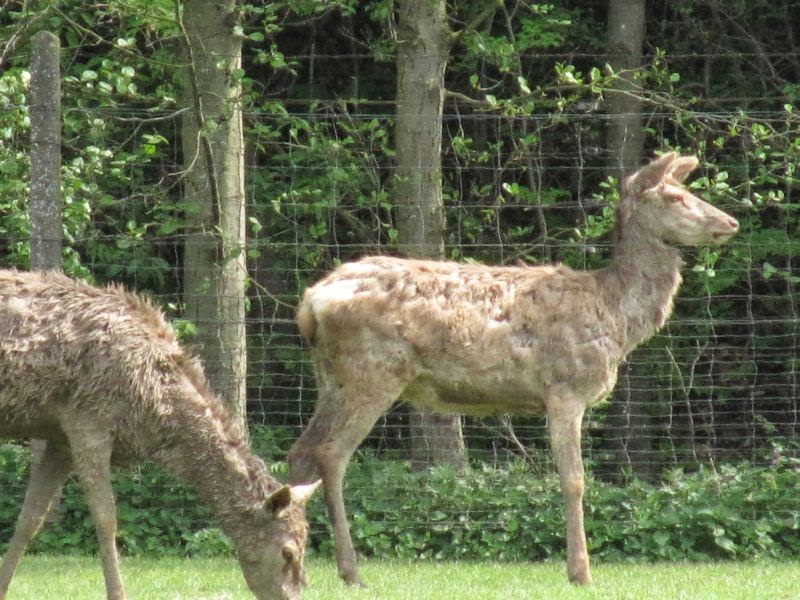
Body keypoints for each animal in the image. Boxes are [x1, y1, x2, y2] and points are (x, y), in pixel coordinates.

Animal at [0, 270, 320, 600]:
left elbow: (30, 518)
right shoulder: (88, 423)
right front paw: (118, 593)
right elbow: (106, 518)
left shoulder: (59, 438)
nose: (292, 597)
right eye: (287, 552)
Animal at [287, 152, 739, 586]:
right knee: (331, 453)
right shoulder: (565, 388)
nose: (730, 222)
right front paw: (580, 572)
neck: (616, 317)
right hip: (372, 372)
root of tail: (311, 302)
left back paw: (296, 559)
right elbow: (574, 479)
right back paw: (350, 572)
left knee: (301, 450)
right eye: (675, 197)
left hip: (331, 377)